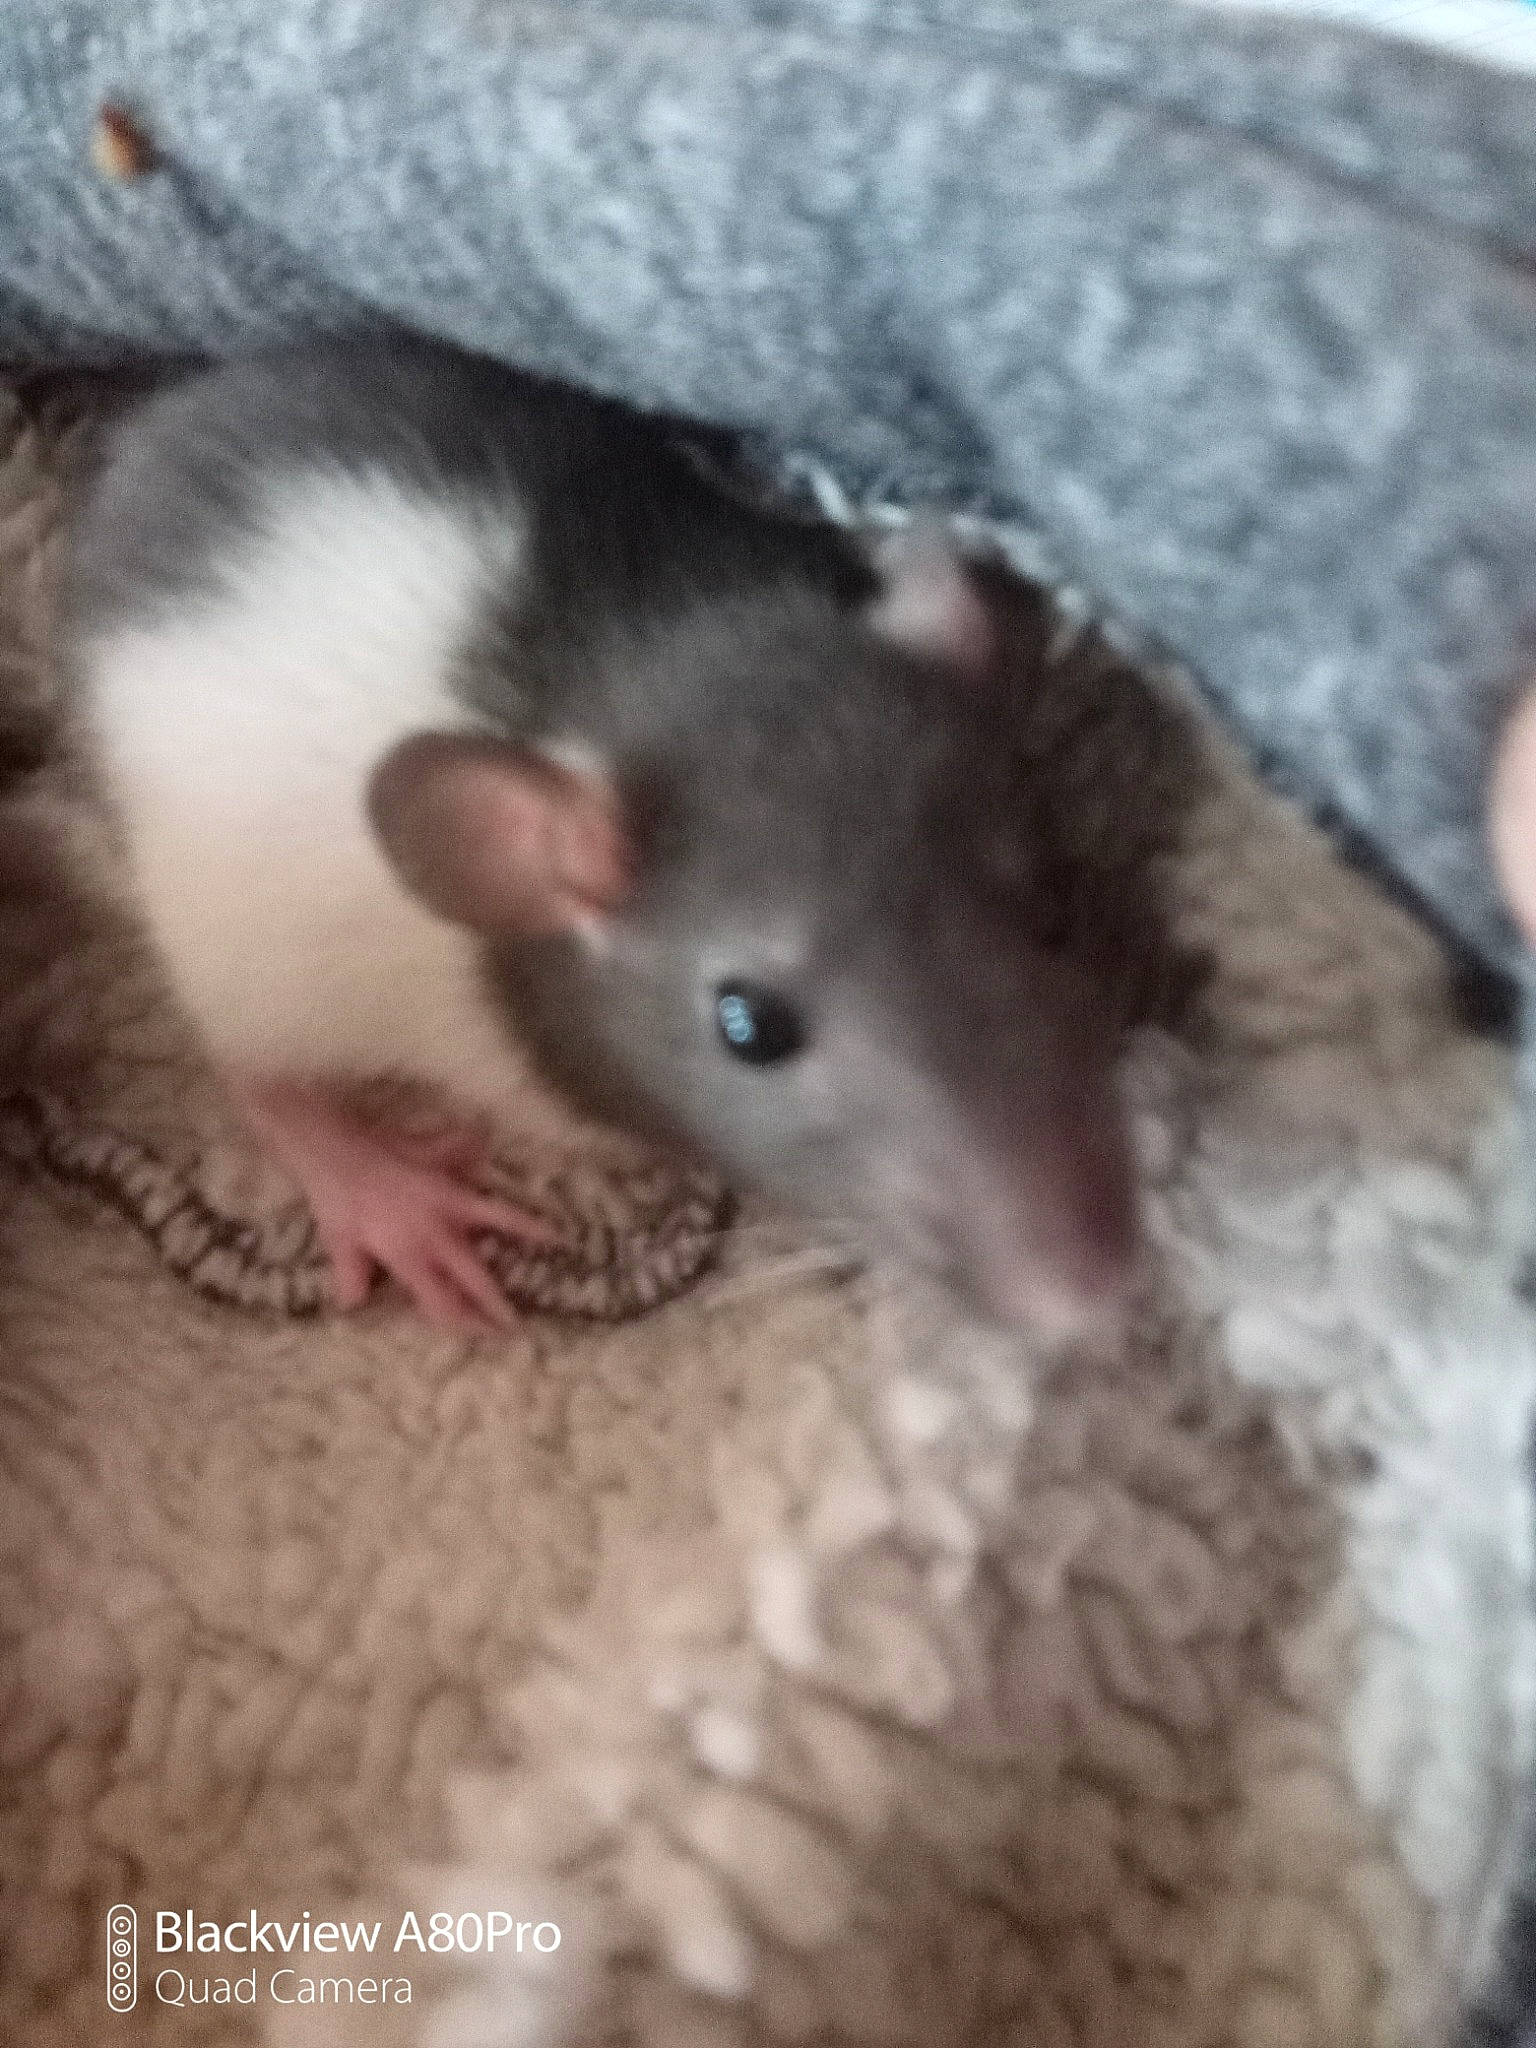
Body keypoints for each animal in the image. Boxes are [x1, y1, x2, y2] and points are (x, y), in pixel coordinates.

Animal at [66, 332, 1155, 1334]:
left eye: (1054, 912)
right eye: (749, 1027)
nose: (1091, 1288)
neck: (658, 659)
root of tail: (137, 467)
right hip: (227, 940)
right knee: (257, 1070)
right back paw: (374, 1186)